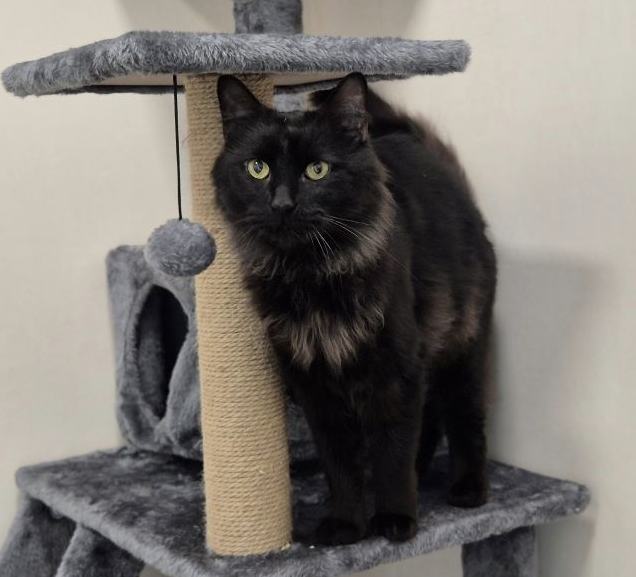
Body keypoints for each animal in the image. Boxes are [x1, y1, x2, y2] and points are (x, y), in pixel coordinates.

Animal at [214, 73, 496, 544]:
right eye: (258, 169)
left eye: (317, 170)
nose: (282, 204)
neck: (310, 276)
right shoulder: (314, 383)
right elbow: (341, 464)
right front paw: (346, 522)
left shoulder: (395, 368)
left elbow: (393, 451)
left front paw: (396, 518)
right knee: (429, 420)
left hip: (463, 344)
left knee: (464, 416)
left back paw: (468, 488)